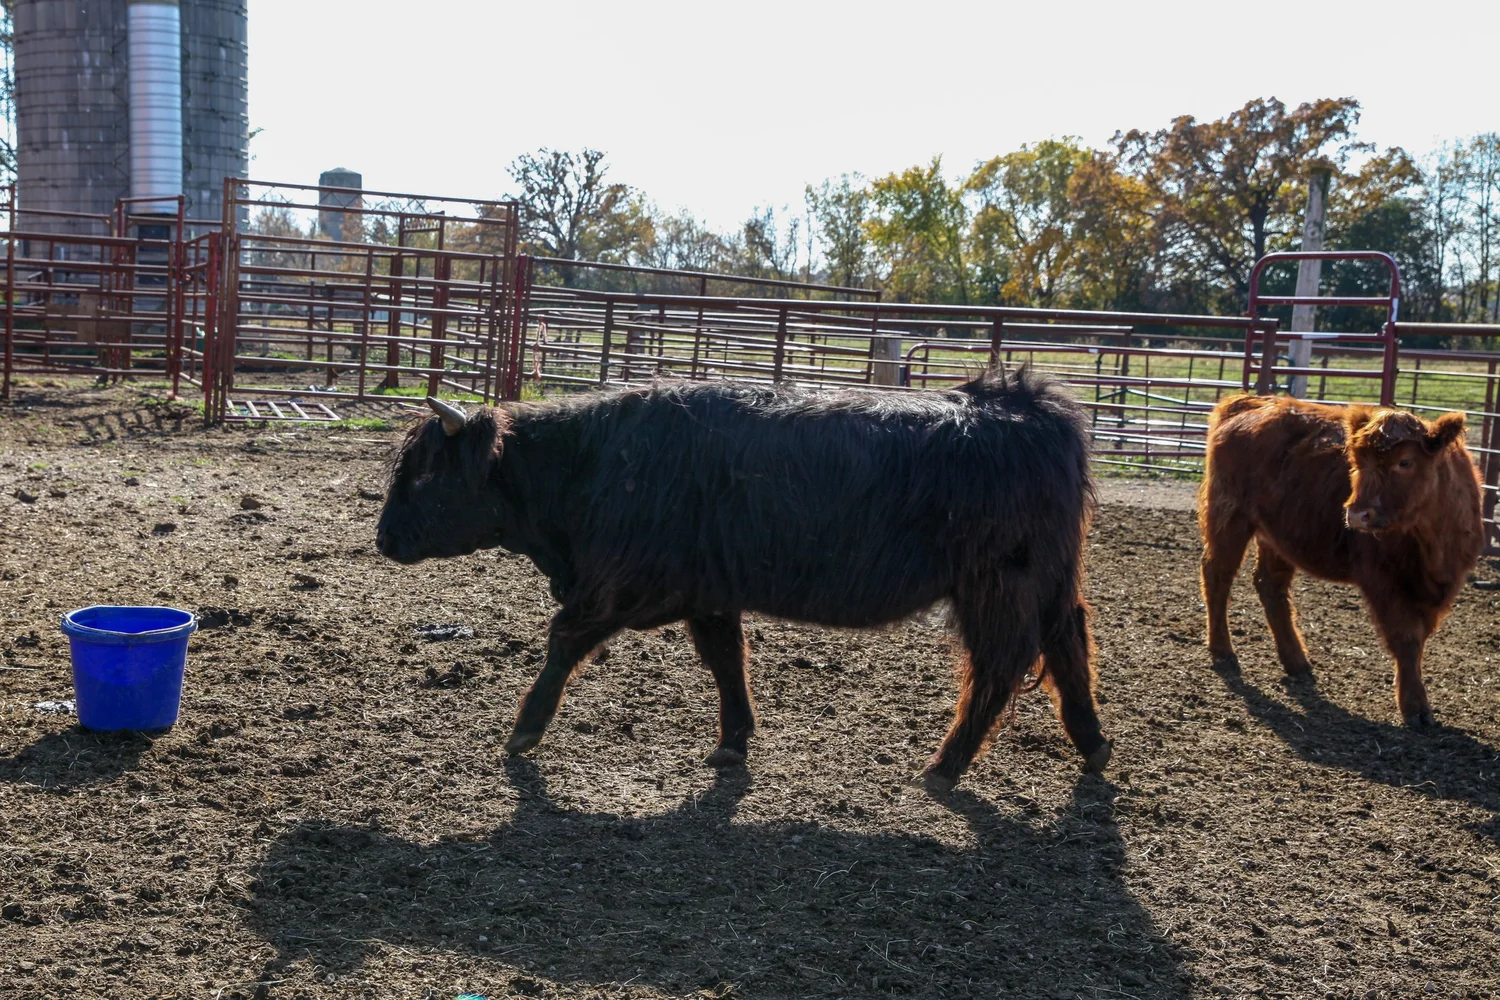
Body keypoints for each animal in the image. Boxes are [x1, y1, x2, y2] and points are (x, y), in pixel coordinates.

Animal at [375, 369, 1111, 791]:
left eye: (426, 472)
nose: (382, 538)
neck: (592, 462)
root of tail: (1027, 407)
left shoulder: (618, 586)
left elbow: (563, 642)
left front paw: (524, 731)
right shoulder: (708, 589)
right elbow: (726, 659)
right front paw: (734, 742)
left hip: (1001, 585)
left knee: (1000, 665)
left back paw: (946, 765)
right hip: (1050, 581)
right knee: (1069, 646)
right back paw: (1094, 746)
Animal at [1198, 394, 1484, 728]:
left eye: (1405, 462)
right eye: (1358, 463)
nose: (1358, 514)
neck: (1432, 540)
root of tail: (1250, 402)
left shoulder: (1440, 585)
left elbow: (1419, 640)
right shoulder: (1383, 581)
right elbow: (1406, 639)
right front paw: (1415, 707)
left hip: (1276, 536)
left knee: (1270, 586)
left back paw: (1296, 662)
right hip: (1229, 517)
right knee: (1218, 575)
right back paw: (1223, 651)